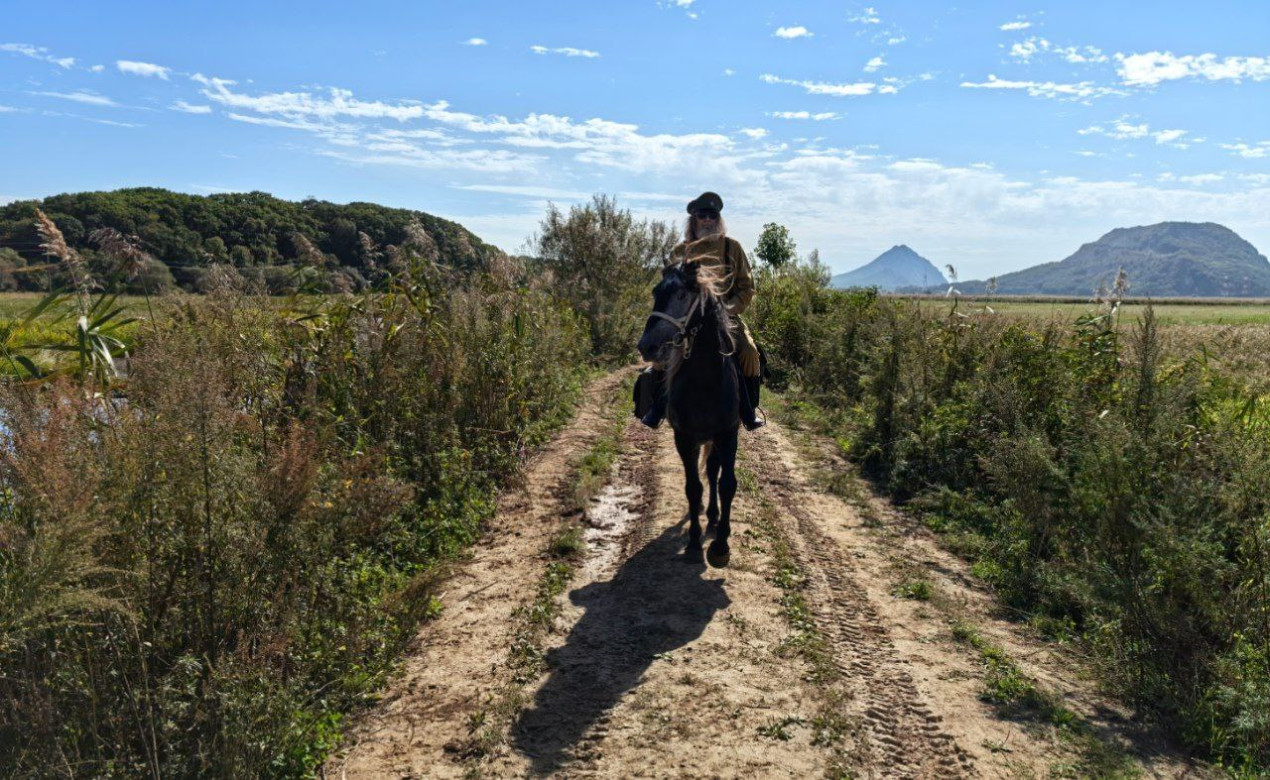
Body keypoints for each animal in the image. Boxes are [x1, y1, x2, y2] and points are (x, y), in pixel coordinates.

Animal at [640, 262, 741, 569]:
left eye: (683, 295)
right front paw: (695, 542)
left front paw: (720, 546)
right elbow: (693, 488)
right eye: (655, 292)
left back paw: (715, 518)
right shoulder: (684, 439)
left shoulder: (728, 435)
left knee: (714, 470)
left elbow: (727, 484)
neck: (705, 382)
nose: (646, 346)